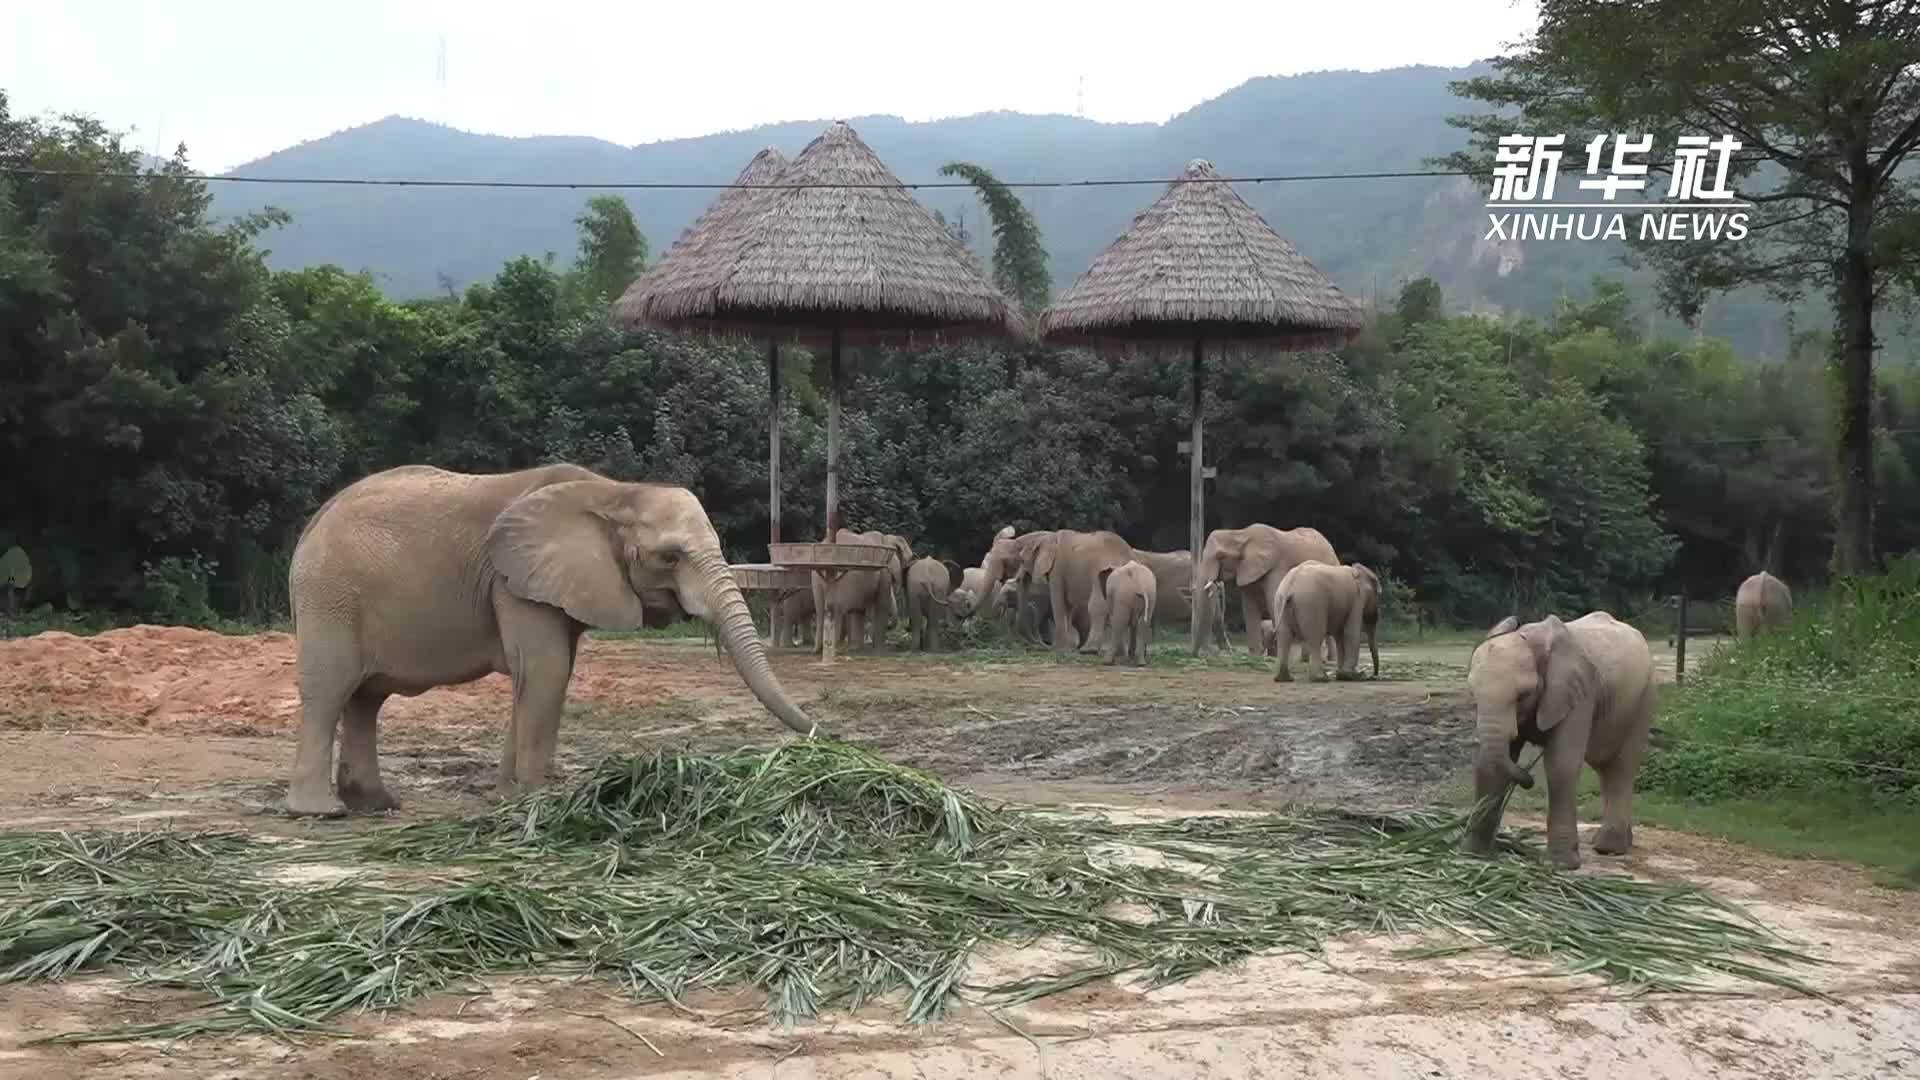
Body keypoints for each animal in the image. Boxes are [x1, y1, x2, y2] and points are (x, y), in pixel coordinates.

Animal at [282, 463, 816, 818]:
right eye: (670, 557)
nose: (820, 738)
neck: (612, 492)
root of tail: (312, 522)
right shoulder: (512, 581)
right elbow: (546, 669)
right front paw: (542, 800)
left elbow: (543, 672)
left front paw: (508, 796)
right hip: (330, 596)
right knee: (331, 691)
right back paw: (320, 812)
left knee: (365, 699)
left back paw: (376, 805)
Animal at [1194, 524, 1340, 656]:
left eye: (1221, 556)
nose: (1200, 654)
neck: (1240, 534)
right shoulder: (1247, 570)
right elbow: (1249, 608)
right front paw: (1255, 656)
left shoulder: (1277, 567)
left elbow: (1273, 601)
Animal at [1462, 611, 1656, 870]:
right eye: (1472, 695)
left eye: (1522, 695)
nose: (1528, 779)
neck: (1531, 638)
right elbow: (1489, 765)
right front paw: (1474, 854)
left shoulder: (1579, 692)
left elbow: (1560, 765)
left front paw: (1560, 865)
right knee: (1605, 768)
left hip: (1644, 698)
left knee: (1621, 767)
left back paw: (1609, 848)